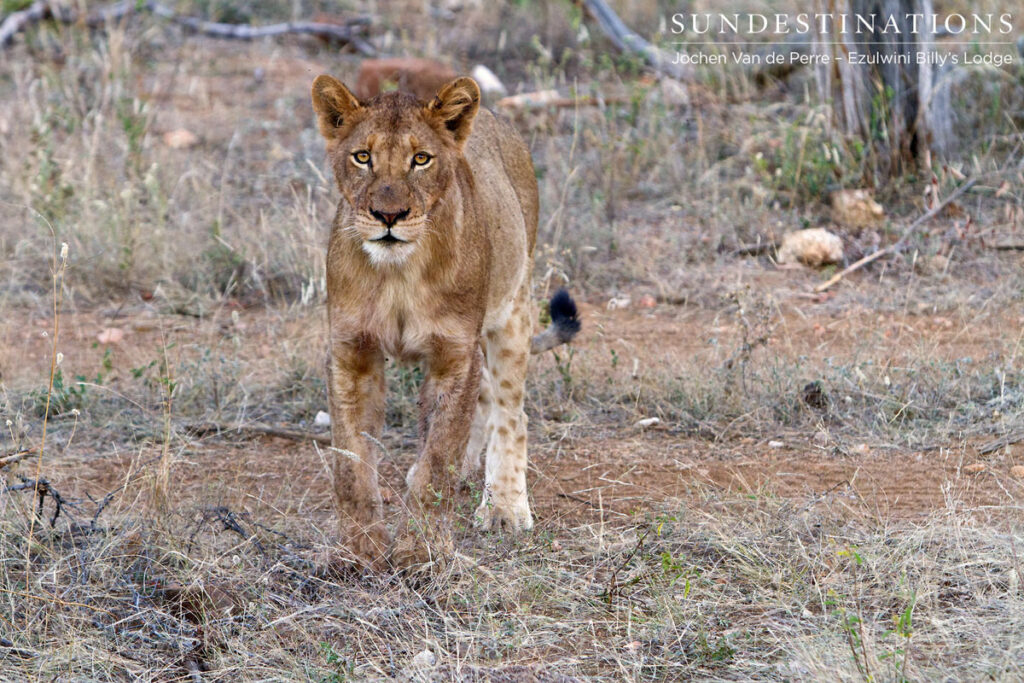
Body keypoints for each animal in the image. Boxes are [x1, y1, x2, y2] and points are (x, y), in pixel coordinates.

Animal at [311, 73, 580, 568]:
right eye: (363, 157)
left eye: (421, 159)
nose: (389, 216)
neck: (397, 274)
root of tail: (493, 117)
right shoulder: (351, 352)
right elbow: (351, 462)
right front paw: (358, 551)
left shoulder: (455, 353)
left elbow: (439, 460)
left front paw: (420, 553)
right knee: (483, 404)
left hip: (513, 308)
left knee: (510, 412)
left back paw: (505, 507)